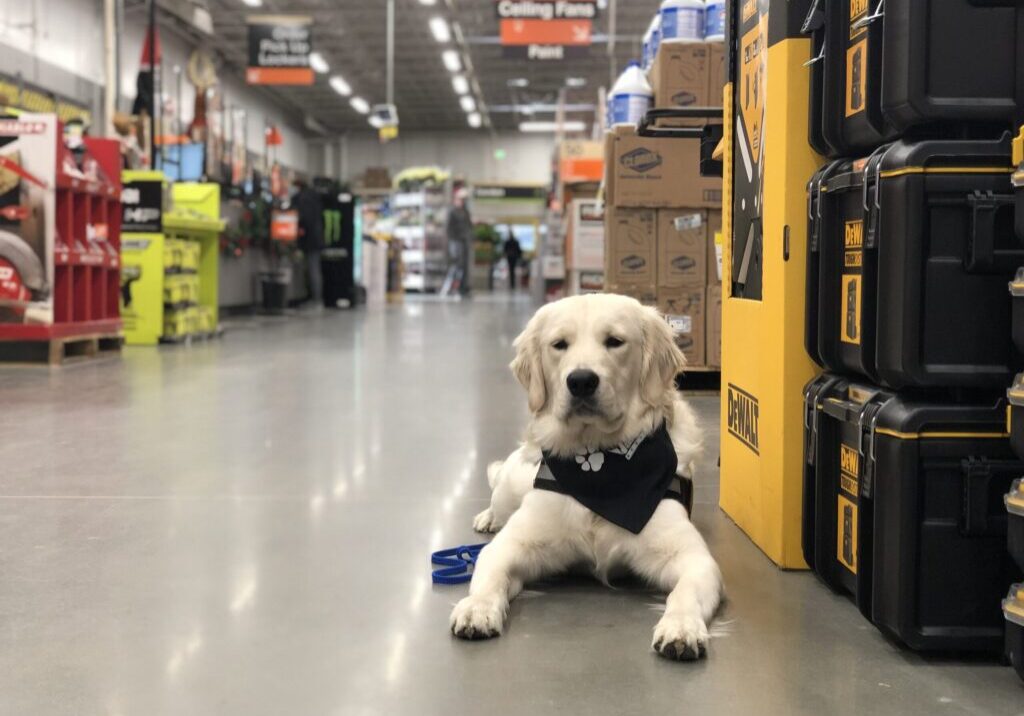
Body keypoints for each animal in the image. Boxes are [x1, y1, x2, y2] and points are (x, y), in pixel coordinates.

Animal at [452, 290, 724, 659]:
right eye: (559, 345)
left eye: (615, 341)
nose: (581, 381)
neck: (598, 464)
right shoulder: (513, 544)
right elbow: (489, 573)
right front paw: (475, 608)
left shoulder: (692, 557)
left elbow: (685, 591)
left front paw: (681, 627)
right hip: (511, 483)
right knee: (498, 499)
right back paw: (487, 517)